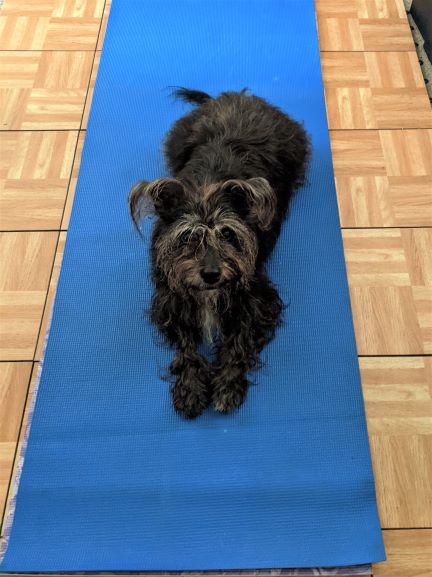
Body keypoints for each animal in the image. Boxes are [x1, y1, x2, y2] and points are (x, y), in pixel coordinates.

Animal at [128, 88, 310, 416]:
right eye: (188, 236)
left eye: (227, 233)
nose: (211, 275)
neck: (207, 187)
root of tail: (235, 95)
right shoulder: (170, 301)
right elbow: (186, 345)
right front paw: (190, 386)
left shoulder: (259, 299)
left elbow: (239, 341)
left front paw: (227, 385)